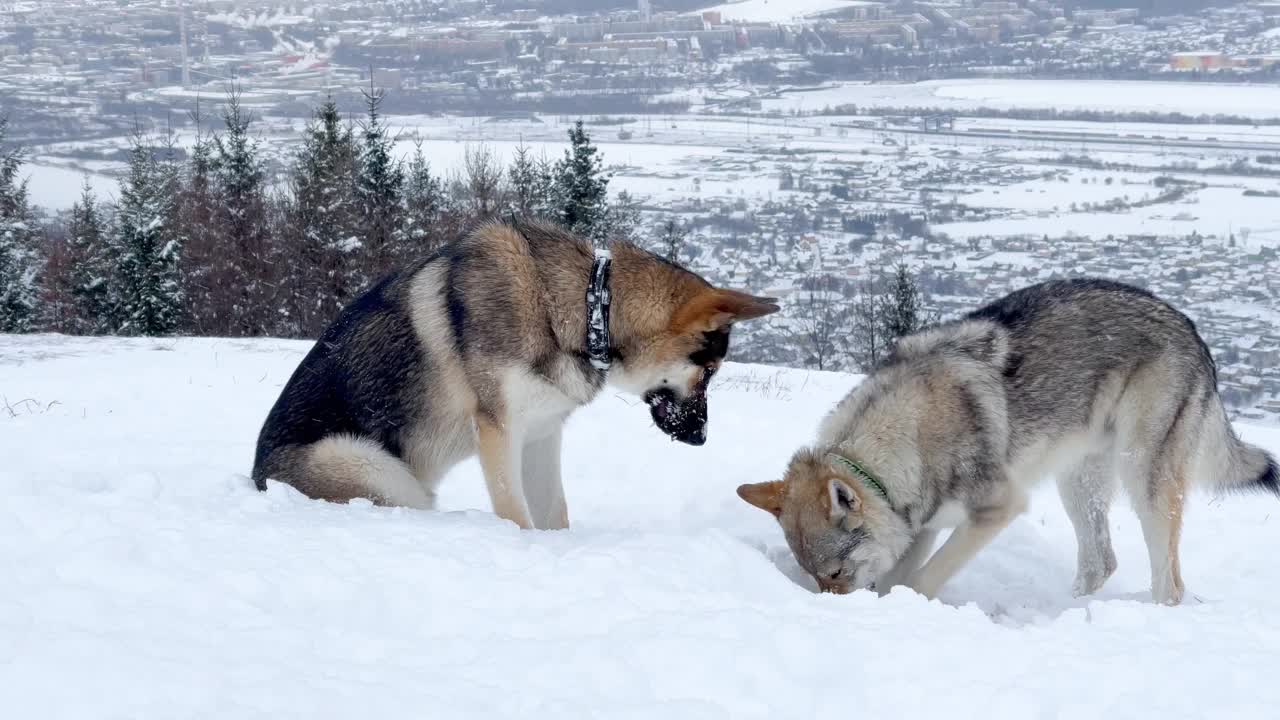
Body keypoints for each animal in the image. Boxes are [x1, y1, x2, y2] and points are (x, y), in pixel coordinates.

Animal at [247, 219, 768, 527]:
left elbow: (554, 511)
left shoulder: (541, 433)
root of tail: (255, 479)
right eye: (709, 371)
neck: (586, 308)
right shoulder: (499, 433)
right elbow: (515, 514)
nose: (701, 438)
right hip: (375, 470)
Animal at [737, 278, 1274, 602]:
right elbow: (896, 576)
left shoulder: (996, 508)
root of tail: (1192, 329)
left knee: (1170, 582)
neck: (904, 438)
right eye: (812, 576)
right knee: (1100, 562)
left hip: (1145, 481)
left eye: (833, 574)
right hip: (1078, 484)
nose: (832, 608)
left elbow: (924, 578)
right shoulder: (920, 522)